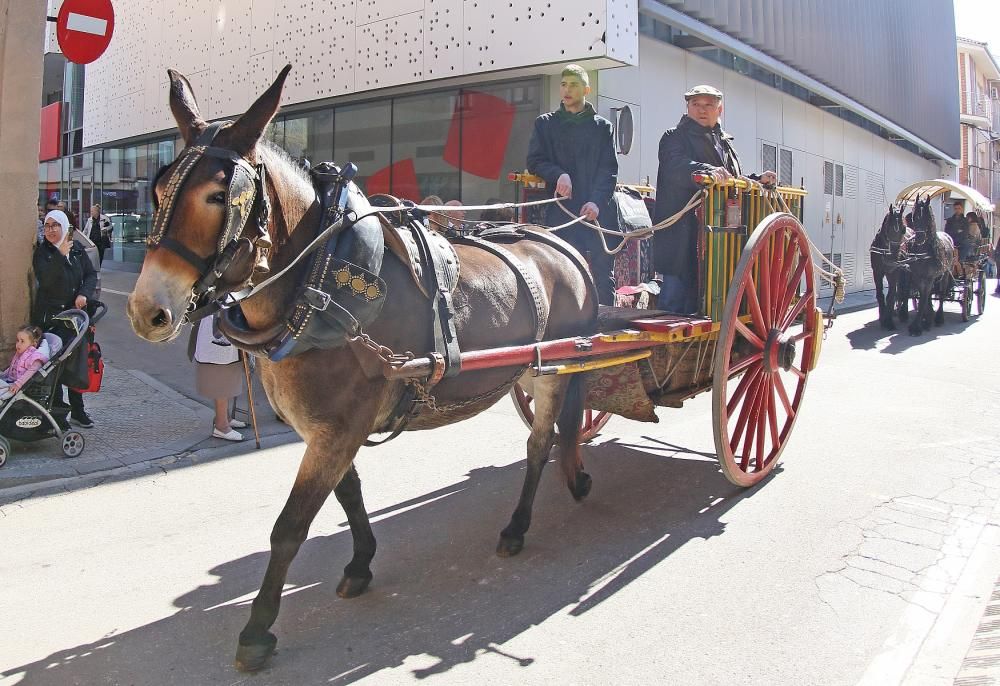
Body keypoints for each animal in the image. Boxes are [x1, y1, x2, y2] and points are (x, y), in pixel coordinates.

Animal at [900, 196, 952, 336]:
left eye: (928, 216)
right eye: (914, 215)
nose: (919, 238)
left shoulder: (929, 278)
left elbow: (924, 297)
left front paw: (917, 326)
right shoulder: (917, 277)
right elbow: (923, 297)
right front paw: (925, 319)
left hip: (944, 275)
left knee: (941, 294)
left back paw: (939, 317)